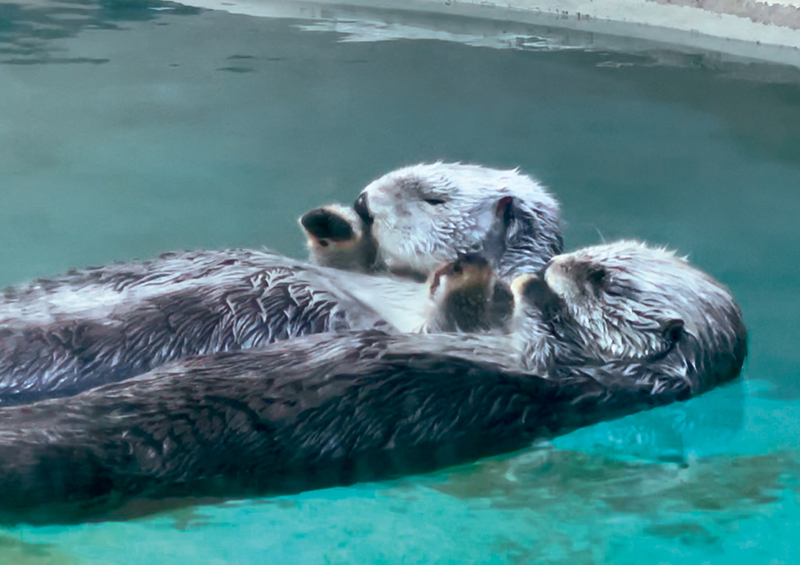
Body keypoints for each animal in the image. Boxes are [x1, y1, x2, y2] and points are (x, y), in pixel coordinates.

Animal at [0, 240, 748, 524]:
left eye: (602, 279)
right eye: (600, 255)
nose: (557, 264)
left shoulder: (567, 377)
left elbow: (501, 333)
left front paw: (509, 287)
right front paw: (491, 275)